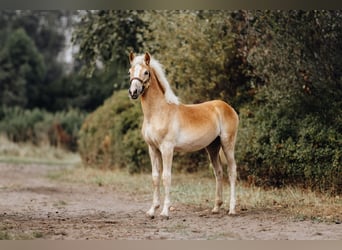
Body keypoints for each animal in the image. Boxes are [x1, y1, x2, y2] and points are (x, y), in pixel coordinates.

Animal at [127, 51, 238, 218]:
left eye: (146, 72)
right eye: (130, 72)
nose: (133, 92)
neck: (158, 112)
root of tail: (228, 108)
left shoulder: (167, 148)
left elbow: (166, 177)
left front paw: (165, 211)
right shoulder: (152, 149)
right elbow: (155, 177)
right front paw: (152, 210)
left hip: (227, 143)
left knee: (232, 171)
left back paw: (232, 209)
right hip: (212, 147)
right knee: (218, 172)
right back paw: (216, 207)